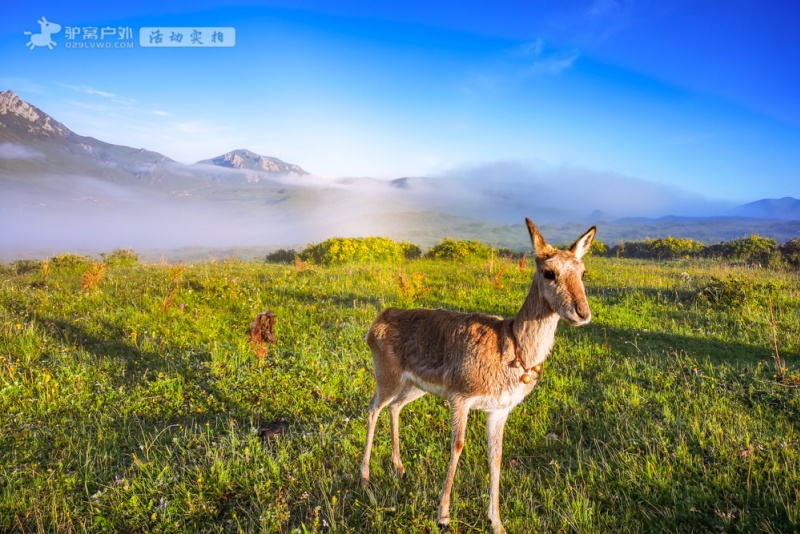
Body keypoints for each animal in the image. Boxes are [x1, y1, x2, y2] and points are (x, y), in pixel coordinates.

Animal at [360, 219, 596, 534]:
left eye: (583, 272)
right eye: (549, 272)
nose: (582, 313)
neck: (512, 348)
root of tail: (378, 320)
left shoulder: (499, 409)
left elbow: (496, 456)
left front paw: (497, 522)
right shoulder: (460, 397)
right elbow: (458, 445)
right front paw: (443, 516)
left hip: (414, 386)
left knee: (395, 408)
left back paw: (400, 468)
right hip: (387, 376)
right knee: (373, 408)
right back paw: (365, 477)